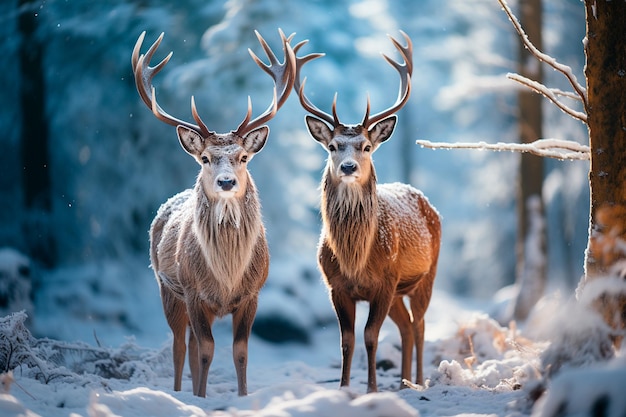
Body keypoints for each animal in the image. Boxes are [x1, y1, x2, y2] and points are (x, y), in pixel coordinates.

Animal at [131, 30, 294, 396]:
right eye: (205, 158)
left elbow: (240, 351)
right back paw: (182, 392)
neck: (227, 278)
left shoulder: (252, 293)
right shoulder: (192, 291)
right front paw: (201, 397)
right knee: (180, 346)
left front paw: (242, 395)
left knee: (190, 345)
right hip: (166, 289)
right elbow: (206, 350)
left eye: (243, 157)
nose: (226, 181)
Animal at [292, 31, 438, 390]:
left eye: (367, 146)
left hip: (426, 276)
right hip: (400, 290)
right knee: (406, 326)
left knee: (419, 325)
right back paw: (402, 382)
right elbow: (347, 340)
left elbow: (371, 336)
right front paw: (344, 388)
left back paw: (418, 381)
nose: (348, 166)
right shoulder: (337, 286)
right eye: (333, 146)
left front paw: (371, 387)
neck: (356, 258)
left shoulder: (385, 282)